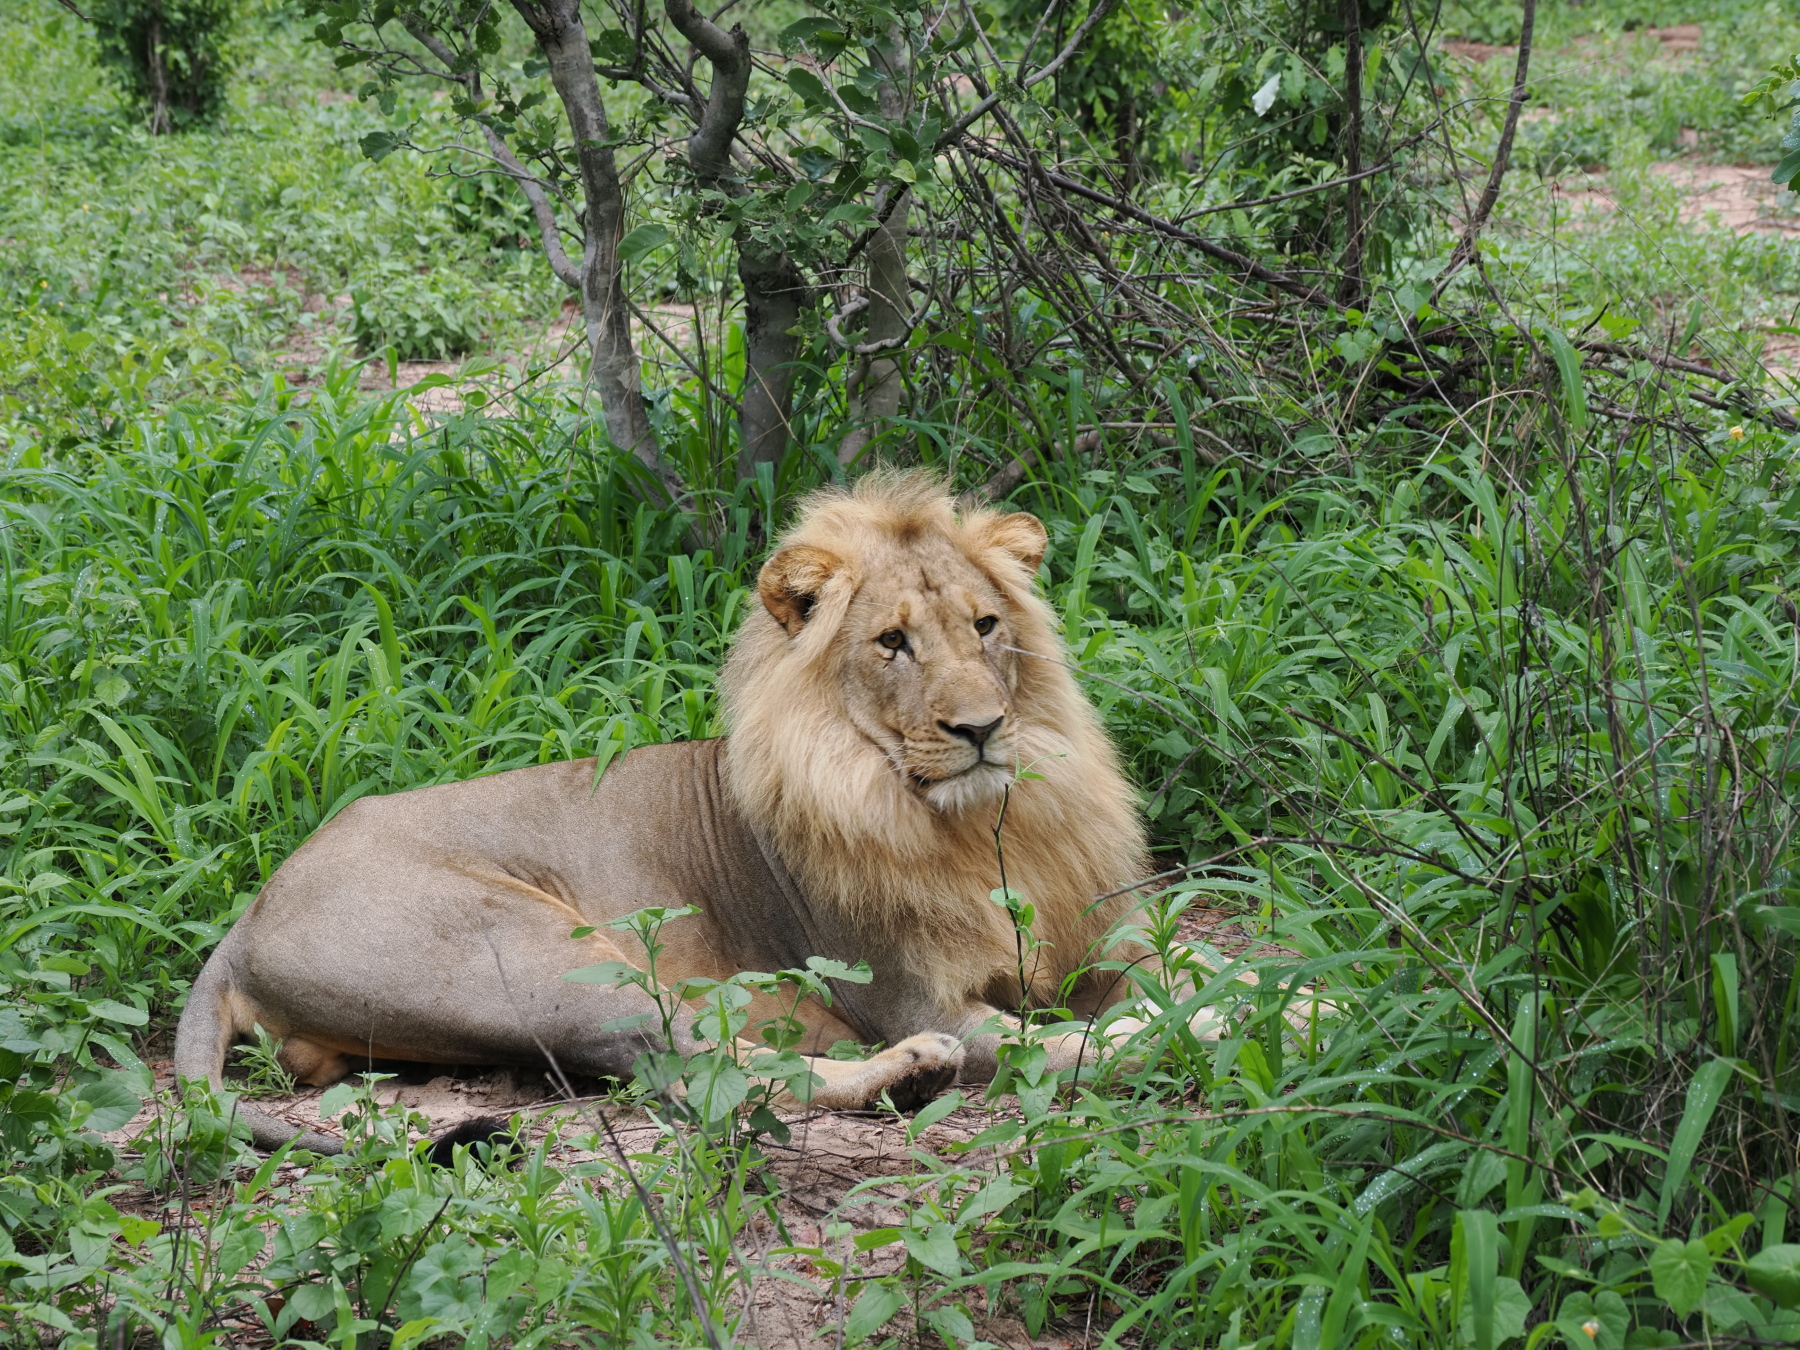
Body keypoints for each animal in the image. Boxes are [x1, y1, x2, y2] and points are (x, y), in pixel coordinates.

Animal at [172, 472, 1167, 1154]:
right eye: (893, 642)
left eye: (986, 626)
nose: (982, 729)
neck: (972, 825)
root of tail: (243, 923)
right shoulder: (918, 995)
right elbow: (1070, 1047)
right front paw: (1185, 1030)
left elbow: (1168, 972)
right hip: (543, 956)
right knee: (697, 1078)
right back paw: (914, 1071)